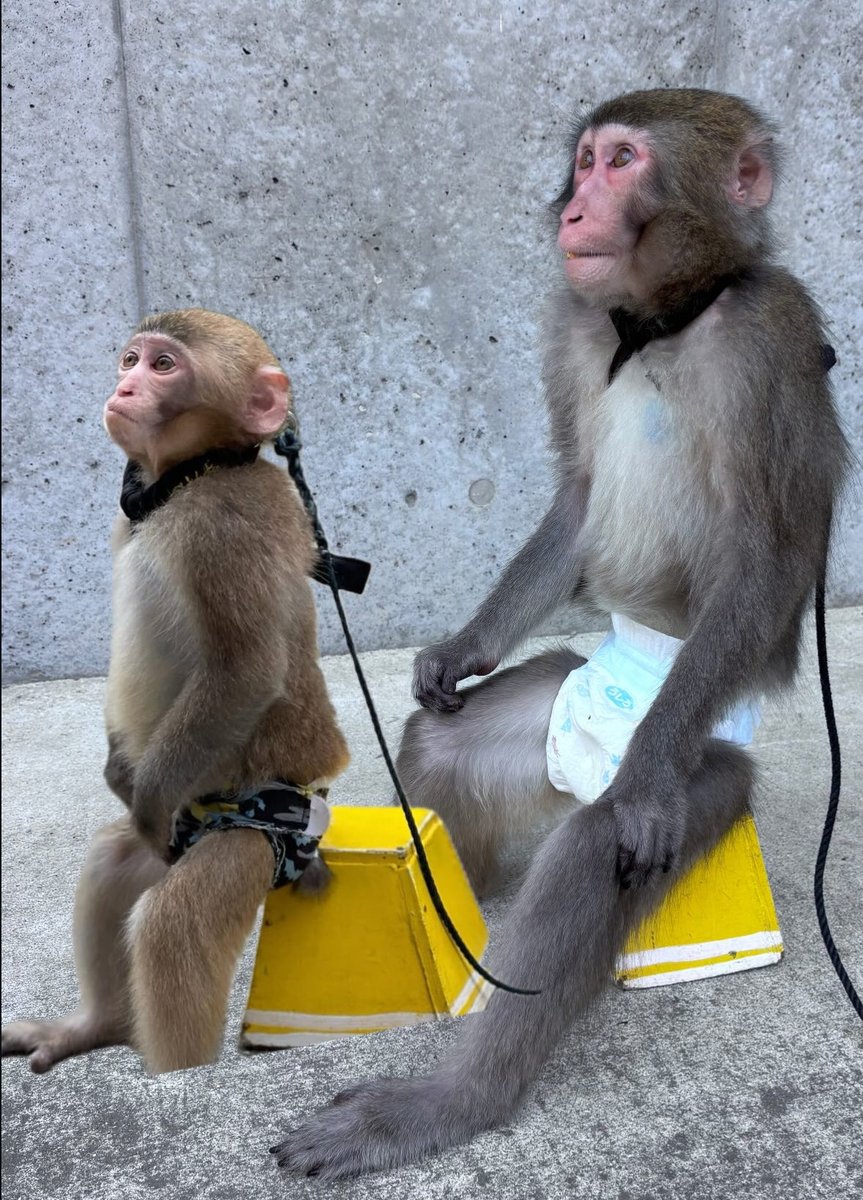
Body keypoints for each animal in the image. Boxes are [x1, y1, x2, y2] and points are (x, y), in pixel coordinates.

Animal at [2, 308, 349, 1075]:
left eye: (163, 366)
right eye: (131, 359)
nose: (125, 385)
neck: (191, 479)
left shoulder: (225, 527)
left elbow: (243, 672)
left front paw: (146, 795)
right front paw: (117, 774)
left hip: (254, 835)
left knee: (173, 927)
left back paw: (174, 1077)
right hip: (191, 830)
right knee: (114, 861)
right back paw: (96, 1025)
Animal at [273, 88, 848, 1178]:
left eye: (621, 162)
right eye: (583, 161)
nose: (577, 207)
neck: (660, 319)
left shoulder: (771, 336)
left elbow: (763, 560)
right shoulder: (573, 323)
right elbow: (579, 495)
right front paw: (459, 651)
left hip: (700, 757)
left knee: (596, 843)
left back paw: (451, 1099)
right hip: (563, 709)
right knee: (447, 745)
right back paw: (459, 895)